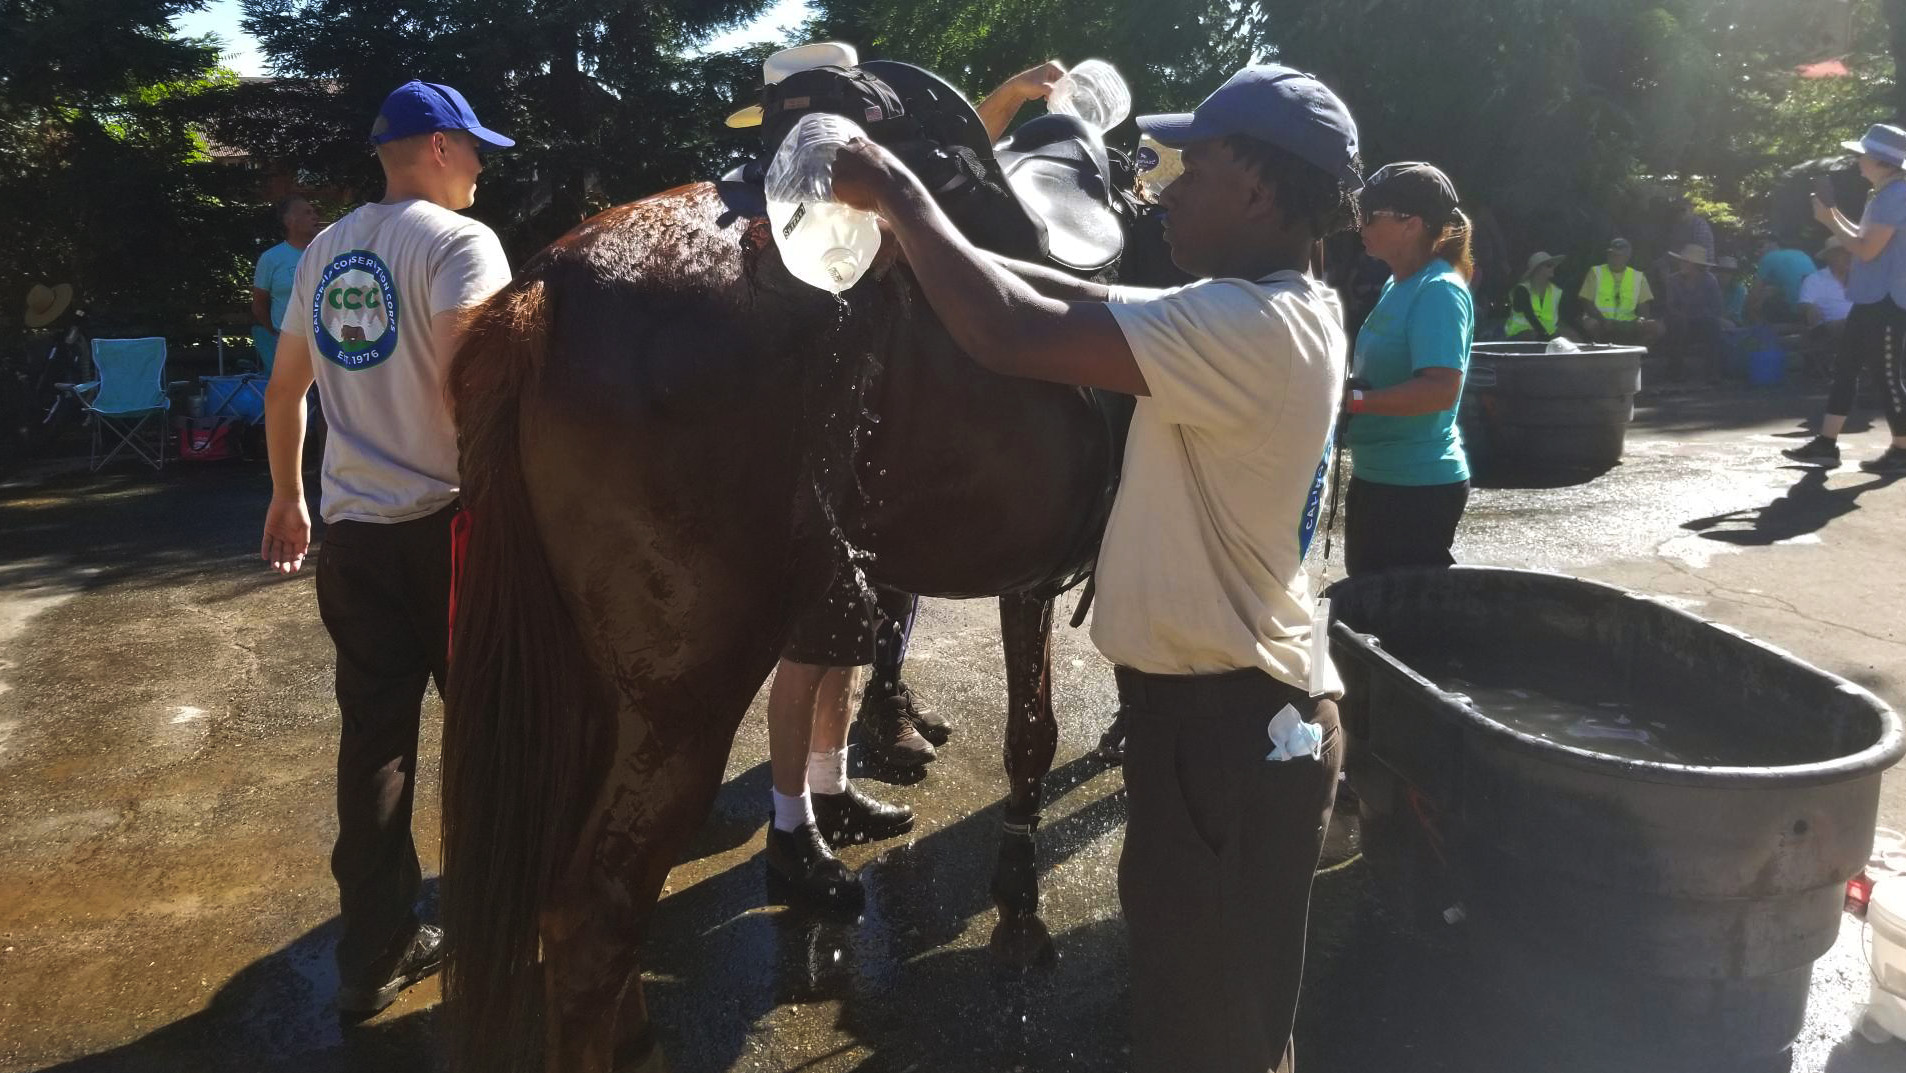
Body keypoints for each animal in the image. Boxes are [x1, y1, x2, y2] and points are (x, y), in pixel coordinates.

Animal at [440, 178, 1166, 1073]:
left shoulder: (1030, 581)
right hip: (685, 700)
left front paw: (1019, 896)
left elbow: (1032, 734)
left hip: (597, 688)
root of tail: (544, 288)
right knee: (593, 914)